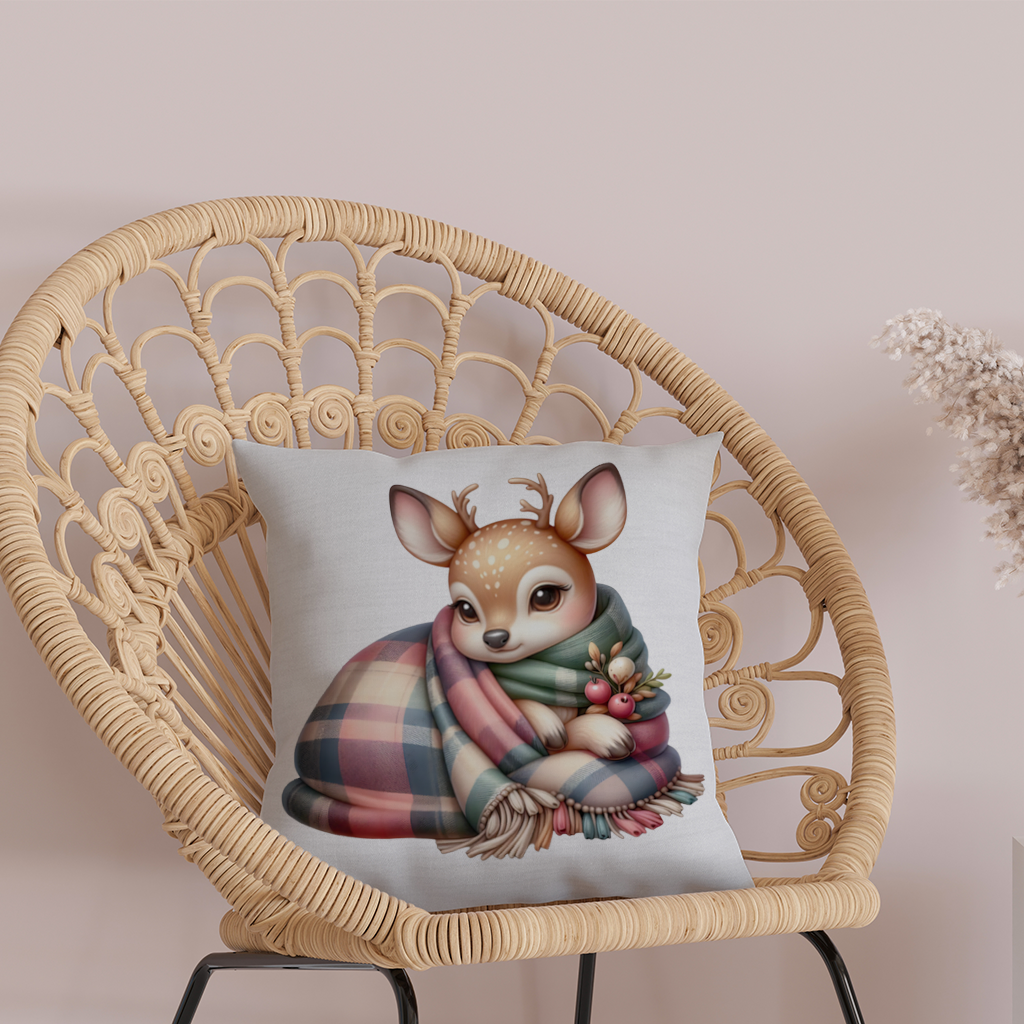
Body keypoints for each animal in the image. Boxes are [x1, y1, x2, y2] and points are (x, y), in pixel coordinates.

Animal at [389, 463, 636, 761]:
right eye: (466, 609)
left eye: (544, 596)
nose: (495, 637)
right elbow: (552, 735)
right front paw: (574, 730)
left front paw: (613, 736)